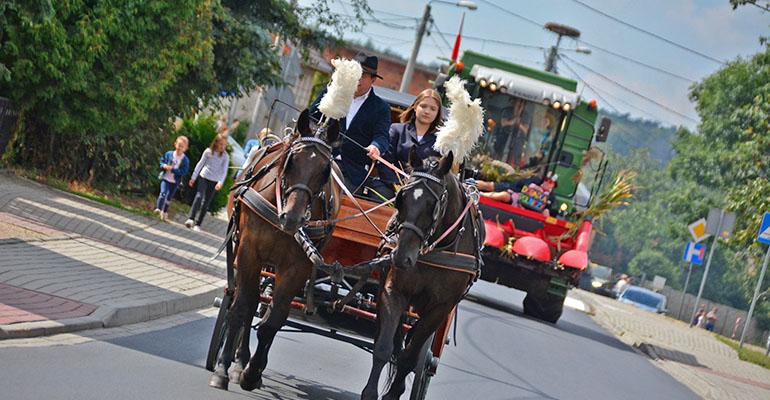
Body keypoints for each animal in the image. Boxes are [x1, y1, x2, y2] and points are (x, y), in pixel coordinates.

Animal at [210, 109, 342, 390]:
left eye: (326, 170)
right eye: (291, 161)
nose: (292, 218)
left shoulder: (297, 268)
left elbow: (273, 320)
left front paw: (253, 372)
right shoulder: (248, 251)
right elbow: (241, 308)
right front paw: (224, 370)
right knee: (249, 302)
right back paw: (236, 362)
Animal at [358, 151, 480, 400]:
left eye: (433, 204)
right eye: (401, 198)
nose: (401, 257)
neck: (435, 247)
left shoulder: (440, 308)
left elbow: (410, 357)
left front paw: (393, 394)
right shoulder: (393, 291)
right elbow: (383, 347)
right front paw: (370, 393)